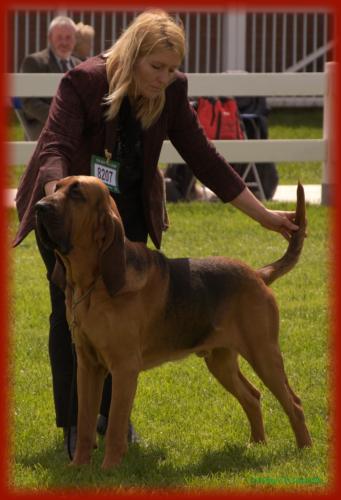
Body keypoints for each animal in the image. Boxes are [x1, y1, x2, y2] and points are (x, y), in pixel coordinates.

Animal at [34, 175, 310, 468]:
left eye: (77, 194)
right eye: (56, 187)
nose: (39, 207)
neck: (92, 284)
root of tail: (258, 274)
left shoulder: (123, 368)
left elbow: (115, 427)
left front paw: (108, 469)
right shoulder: (88, 366)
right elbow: (85, 421)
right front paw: (78, 467)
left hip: (263, 354)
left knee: (294, 402)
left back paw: (304, 450)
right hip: (221, 361)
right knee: (253, 396)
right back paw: (257, 443)